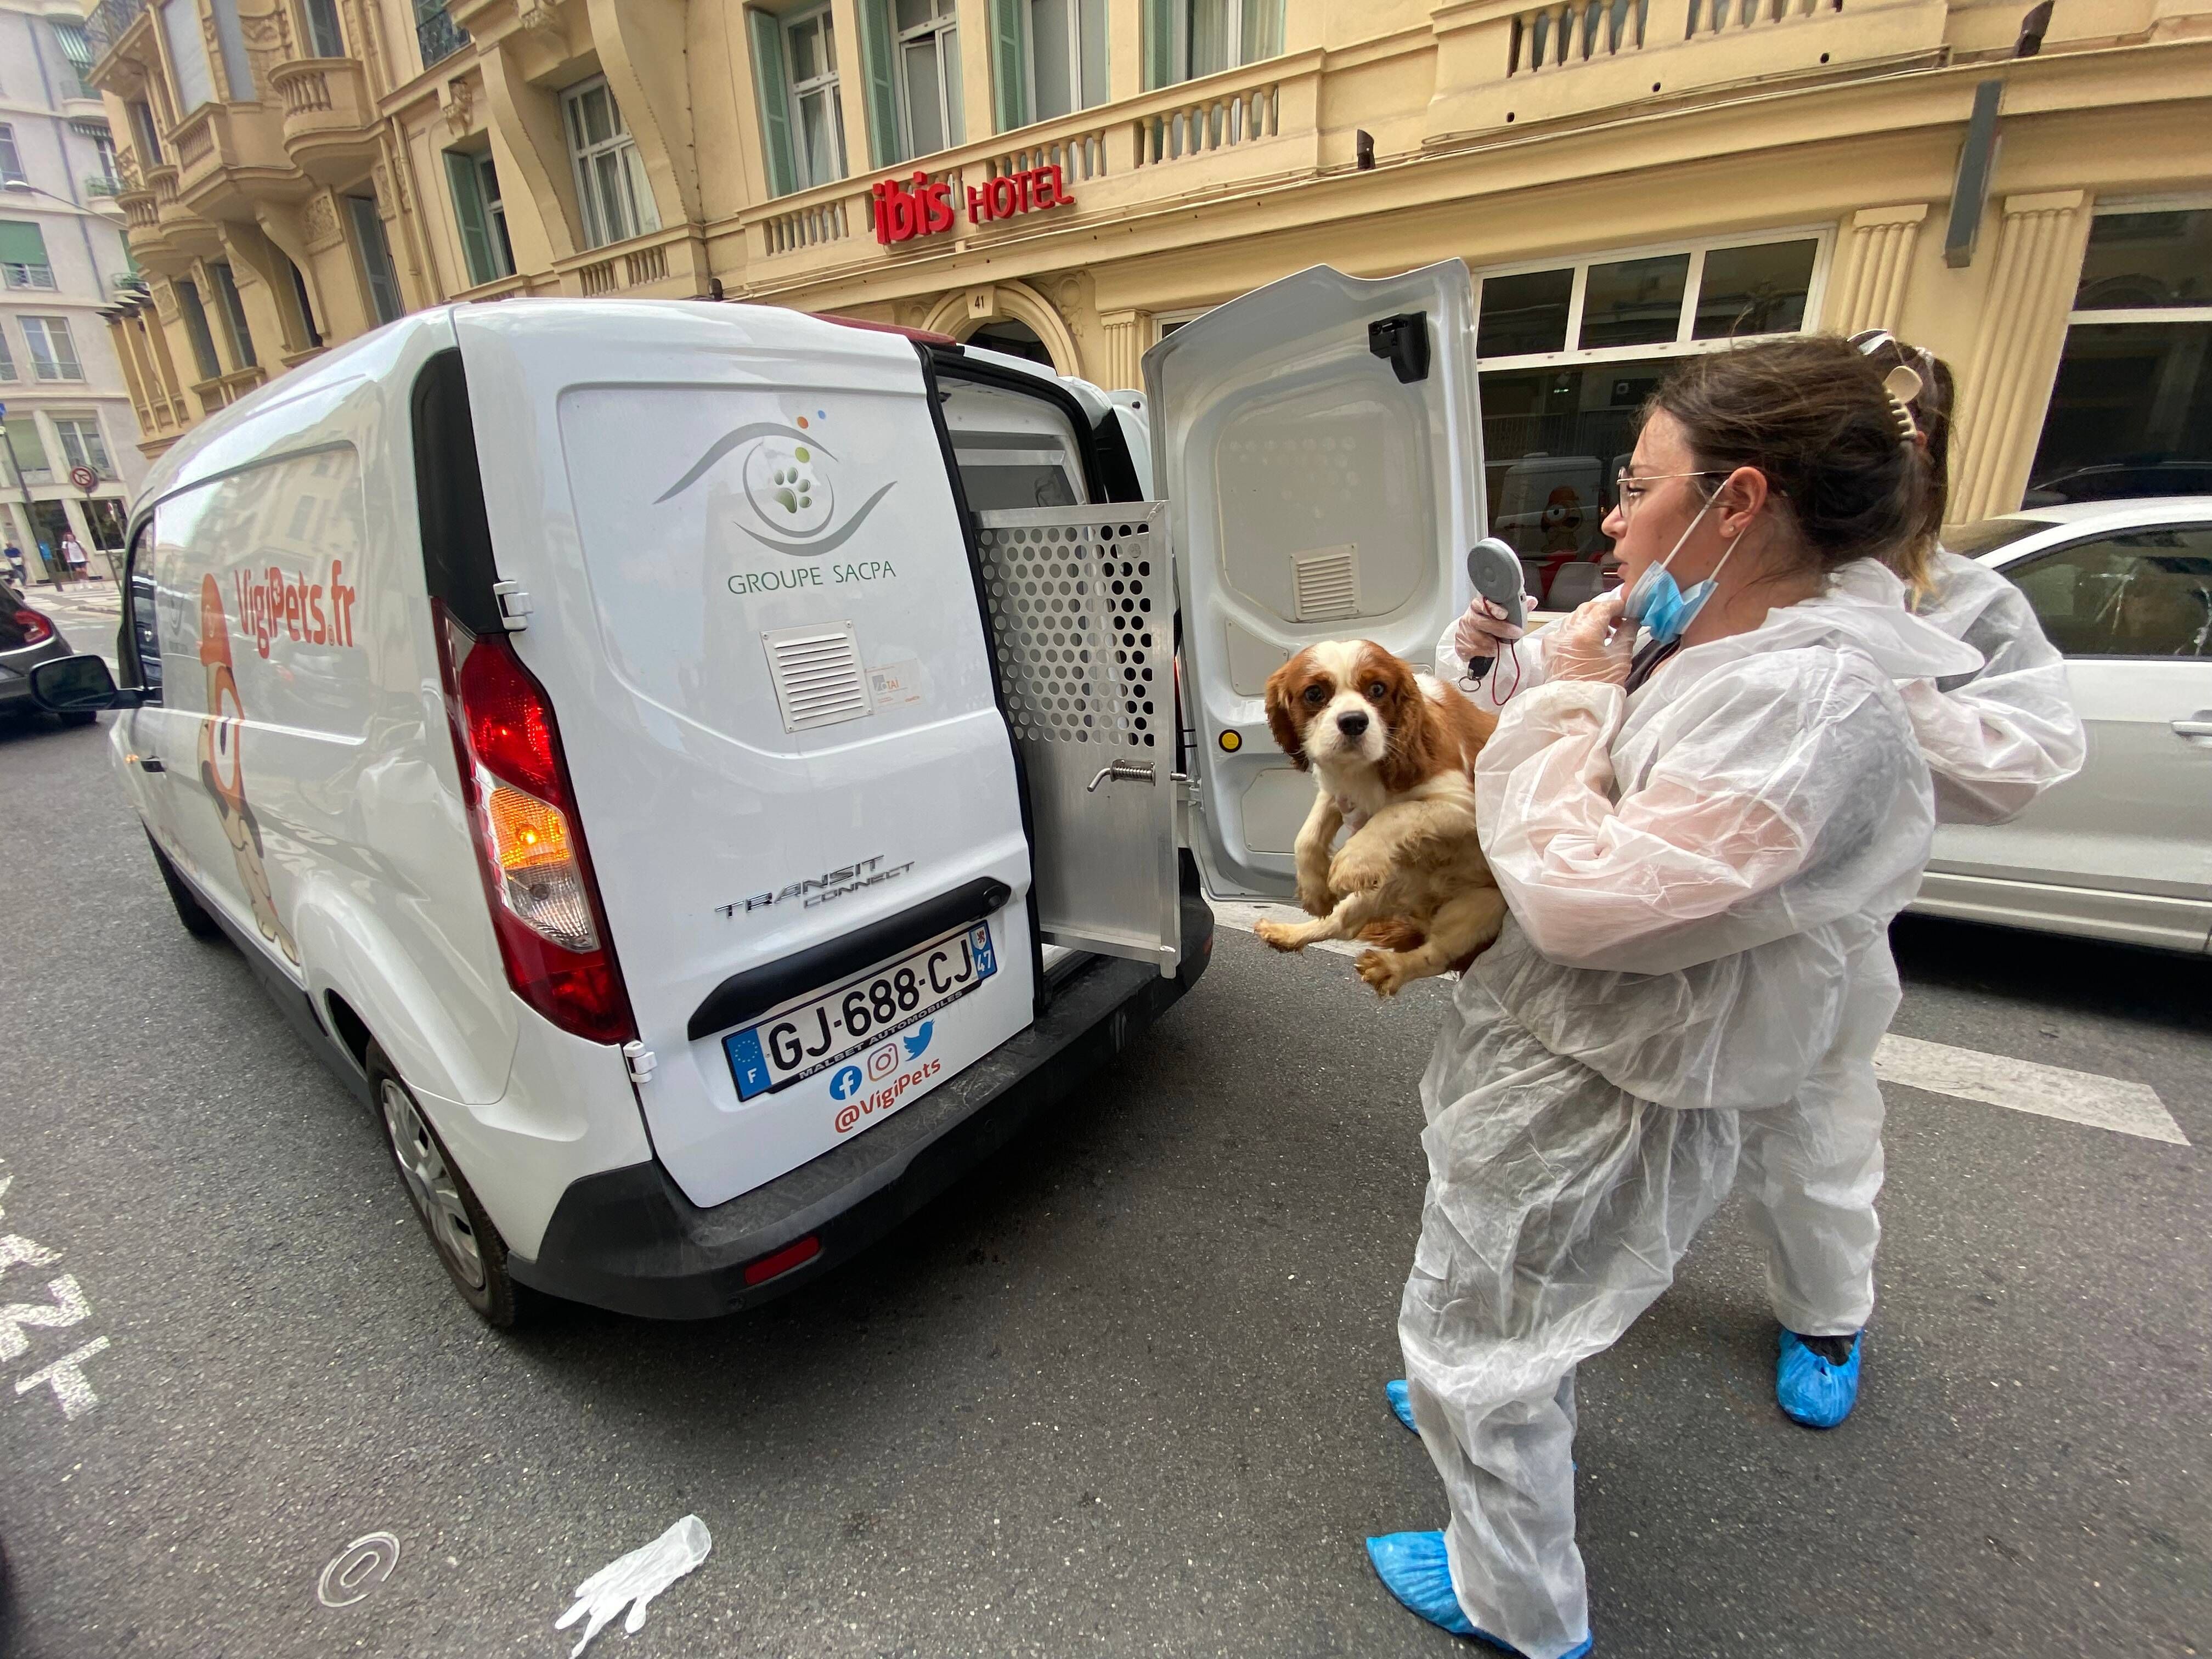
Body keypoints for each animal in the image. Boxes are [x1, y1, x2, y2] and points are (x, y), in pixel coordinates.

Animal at [1256, 641, 1513, 995]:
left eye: (1377, 689)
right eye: (1314, 694)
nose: (1353, 721)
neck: (1362, 771)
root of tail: (1420, 913)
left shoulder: (1466, 806)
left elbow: (1396, 812)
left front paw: (1352, 861)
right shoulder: (1336, 791)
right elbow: (1307, 836)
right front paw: (1314, 890)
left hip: (1481, 907)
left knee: (1436, 955)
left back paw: (1390, 968)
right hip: (1387, 883)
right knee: (1343, 924)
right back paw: (1288, 934)